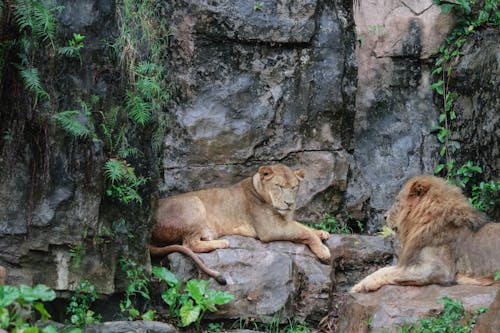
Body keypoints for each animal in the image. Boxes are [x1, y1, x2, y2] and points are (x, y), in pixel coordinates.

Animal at [150, 163, 334, 282]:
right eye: (279, 186)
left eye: (294, 187)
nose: (290, 204)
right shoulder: (269, 229)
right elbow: (303, 231)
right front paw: (323, 250)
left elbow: (303, 226)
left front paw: (322, 233)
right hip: (194, 202)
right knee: (189, 244)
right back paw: (221, 243)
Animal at [352, 174, 500, 290]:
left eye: (397, 201)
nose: (384, 216)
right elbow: (387, 269)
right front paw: (359, 284)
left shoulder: (438, 269)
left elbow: (392, 272)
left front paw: (365, 284)